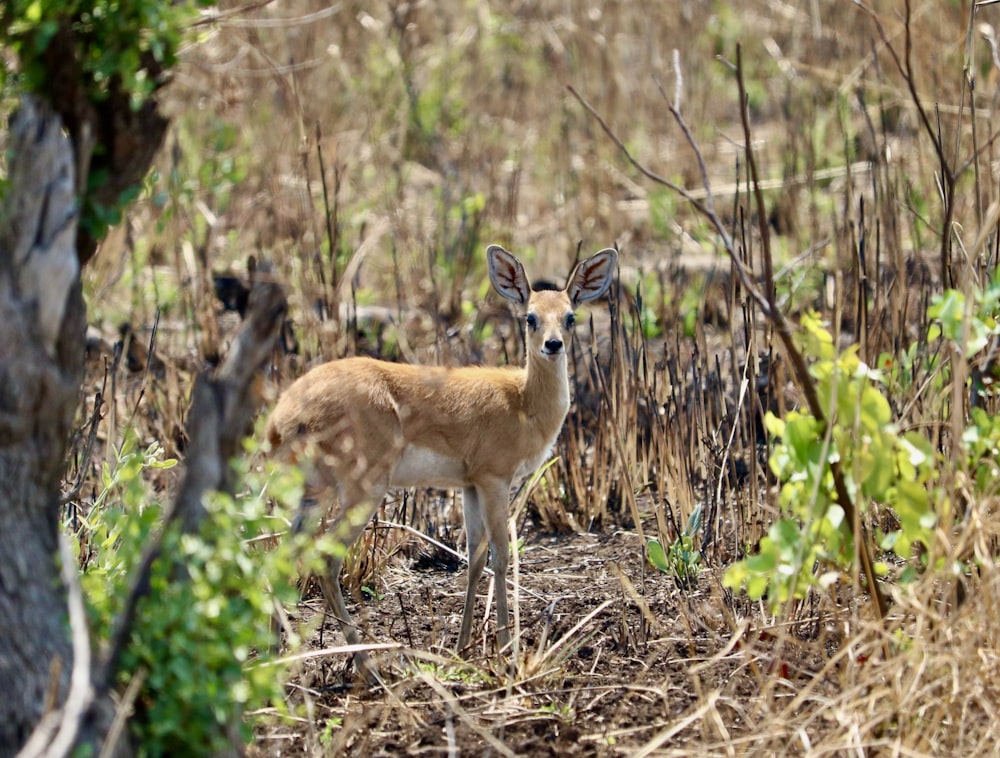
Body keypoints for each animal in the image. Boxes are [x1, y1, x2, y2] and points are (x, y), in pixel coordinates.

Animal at [266, 245, 616, 676]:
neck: (522, 402)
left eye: (570, 316)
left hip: (313, 494)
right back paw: (367, 666)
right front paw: (505, 648)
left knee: (279, 557)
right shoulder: (495, 480)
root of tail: (284, 414)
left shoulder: (468, 486)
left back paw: (273, 656)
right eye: (530, 316)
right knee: (328, 560)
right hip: (363, 490)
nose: (553, 345)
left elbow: (475, 558)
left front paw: (464, 646)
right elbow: (502, 555)